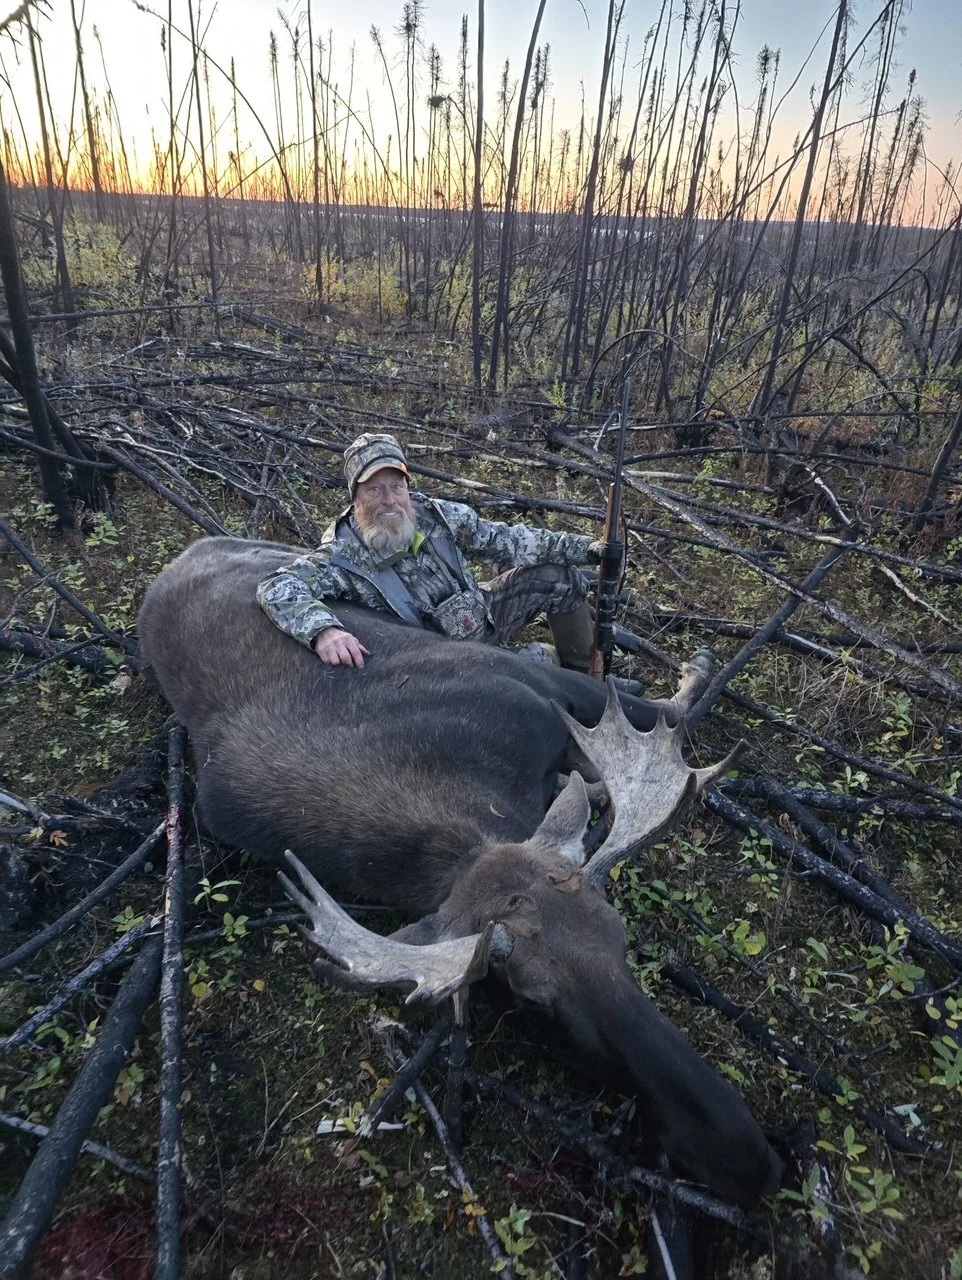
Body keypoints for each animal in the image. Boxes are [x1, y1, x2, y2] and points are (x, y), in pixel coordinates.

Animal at [138, 536, 781, 1207]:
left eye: (620, 936)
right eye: (531, 1001)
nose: (745, 1155)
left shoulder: (529, 685)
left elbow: (654, 708)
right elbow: (661, 711)